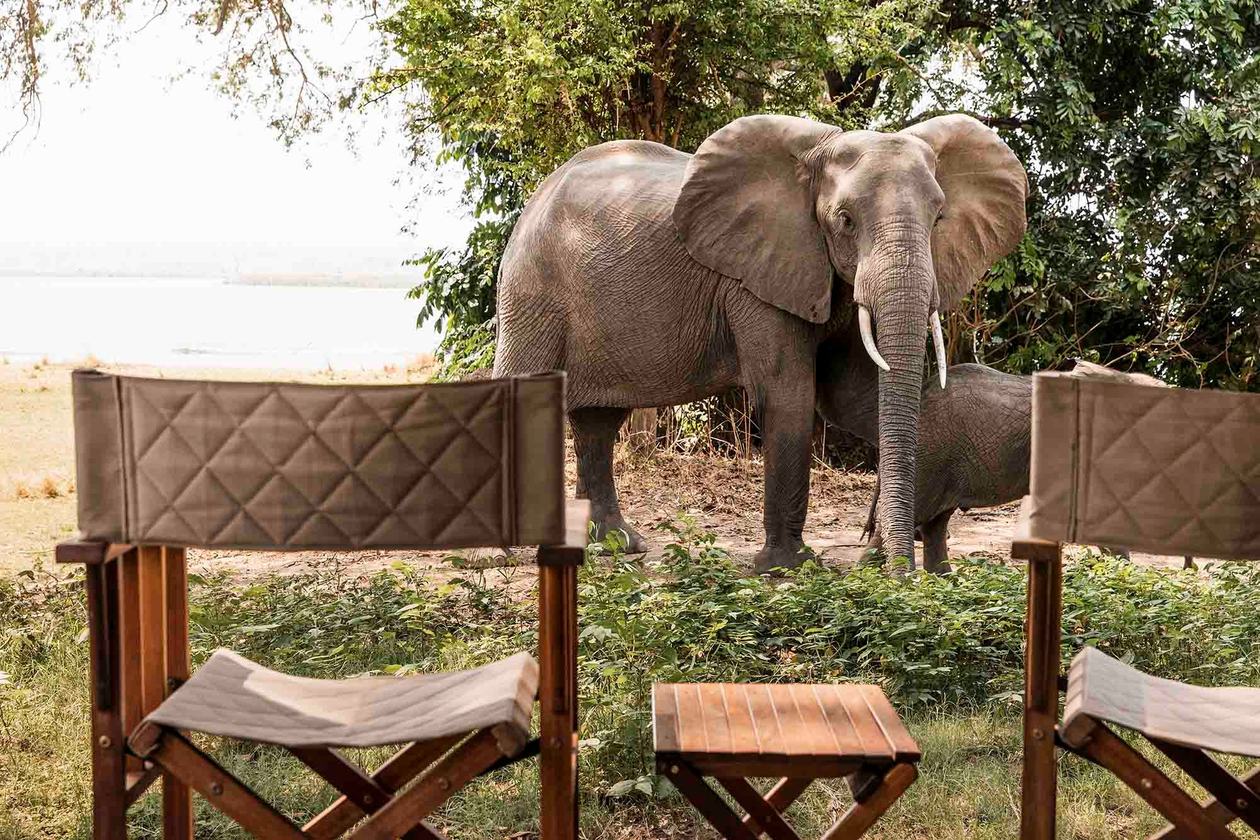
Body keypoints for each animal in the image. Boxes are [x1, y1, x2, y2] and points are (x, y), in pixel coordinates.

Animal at [493, 114, 1027, 572]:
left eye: (938, 219)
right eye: (845, 221)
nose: (897, 571)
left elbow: (851, 396)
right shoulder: (755, 279)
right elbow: (791, 393)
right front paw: (788, 568)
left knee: (598, 423)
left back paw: (615, 547)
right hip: (532, 287)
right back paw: (507, 552)